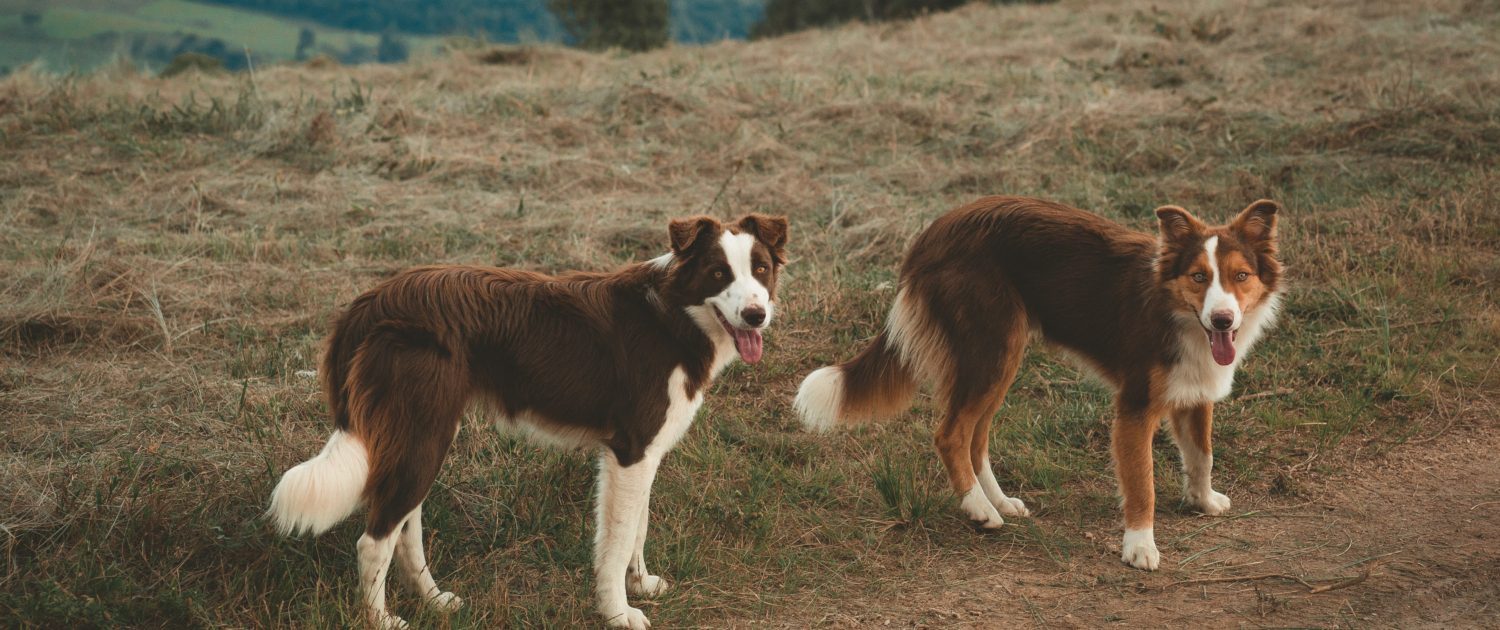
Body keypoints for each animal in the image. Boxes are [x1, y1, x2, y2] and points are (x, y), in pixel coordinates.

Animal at [270, 214, 792, 627]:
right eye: (718, 273)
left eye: (761, 270)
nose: (755, 315)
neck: (672, 315)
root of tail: (370, 301)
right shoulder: (629, 452)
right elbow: (619, 537)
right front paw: (619, 612)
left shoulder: (646, 452)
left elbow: (638, 528)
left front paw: (641, 584)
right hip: (421, 433)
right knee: (374, 539)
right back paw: (382, 619)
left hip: (422, 433)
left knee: (404, 525)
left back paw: (434, 600)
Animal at [798, 195, 1278, 570]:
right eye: (1199, 277)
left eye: (1240, 276)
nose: (1223, 319)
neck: (1175, 310)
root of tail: (935, 230)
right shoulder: (1135, 407)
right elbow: (1143, 483)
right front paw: (1140, 546)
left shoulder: (1196, 392)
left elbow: (1202, 455)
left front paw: (1203, 501)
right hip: (991, 350)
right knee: (951, 433)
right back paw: (978, 508)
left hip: (999, 357)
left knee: (975, 437)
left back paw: (998, 501)